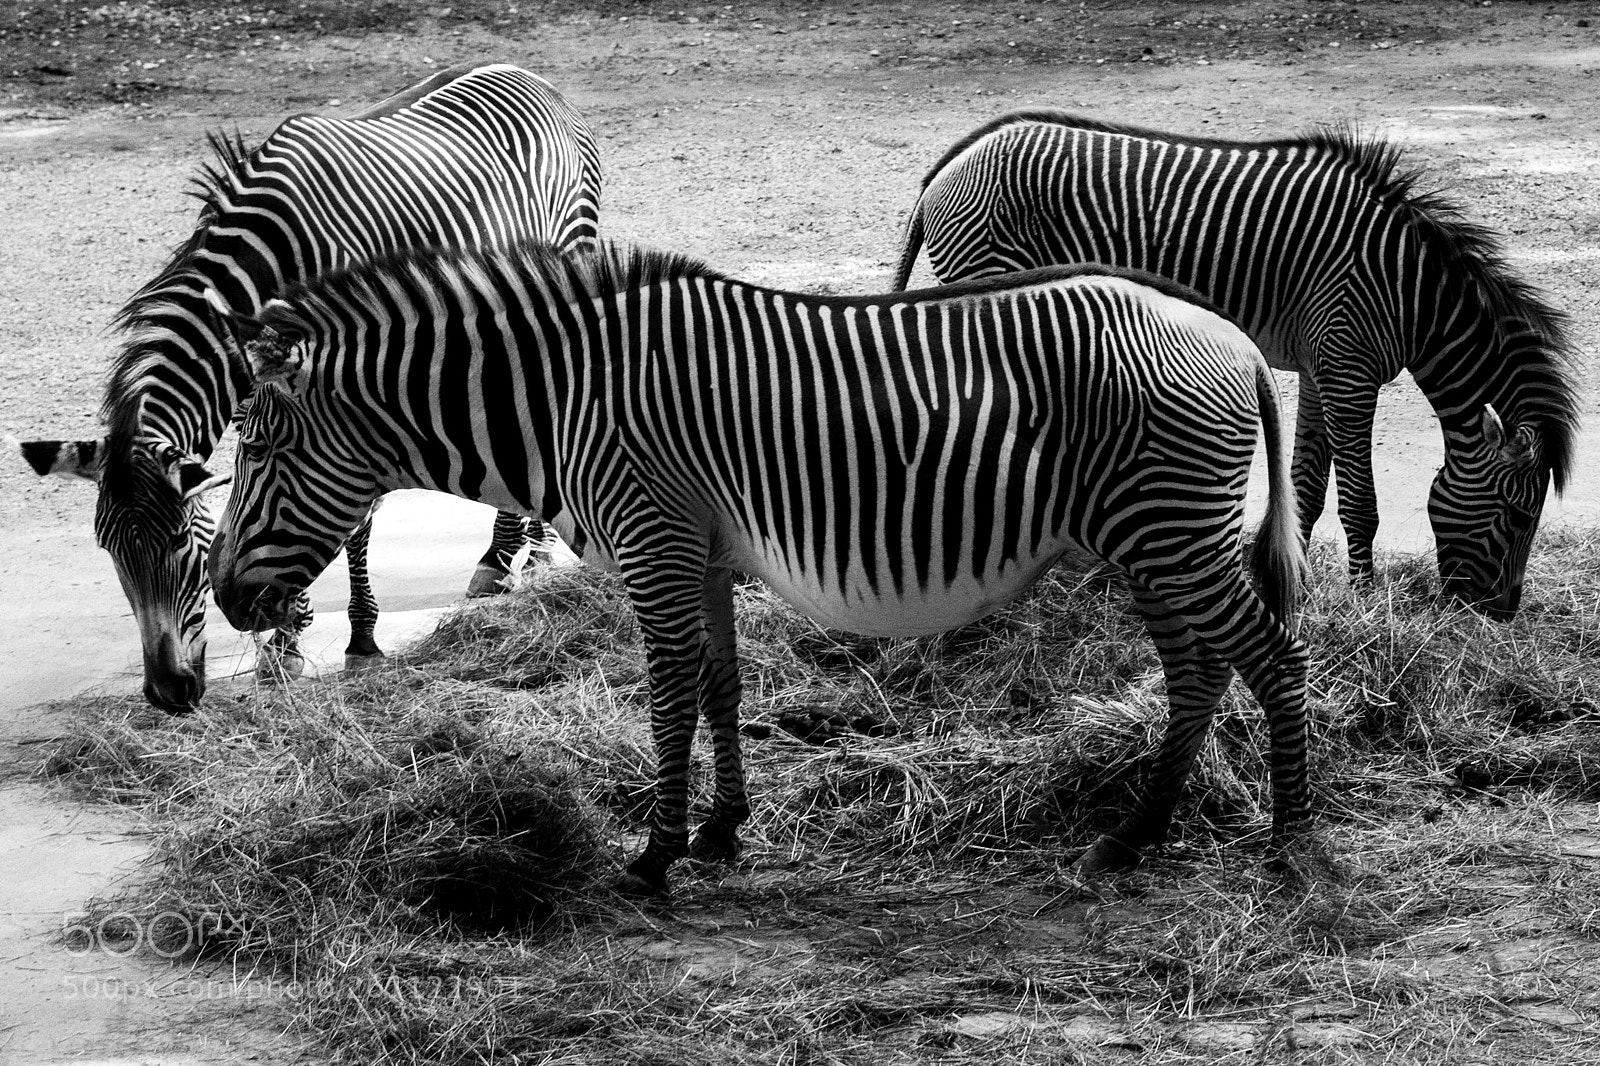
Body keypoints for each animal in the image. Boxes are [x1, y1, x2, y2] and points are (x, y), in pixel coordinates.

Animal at [17, 63, 601, 712]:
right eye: (109, 551)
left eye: (180, 542)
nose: (168, 693)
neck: (264, 264)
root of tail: (528, 74)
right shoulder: (263, 384)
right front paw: (285, 632)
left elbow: (354, 518)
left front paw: (354, 632)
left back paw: (505, 558)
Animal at [207, 239, 1313, 895]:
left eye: (254, 450)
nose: (224, 598)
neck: (567, 394)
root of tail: (1232, 338)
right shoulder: (697, 546)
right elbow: (719, 684)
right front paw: (722, 830)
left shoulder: (651, 539)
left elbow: (665, 696)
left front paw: (653, 854)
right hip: (1156, 539)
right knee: (1197, 672)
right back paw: (1135, 834)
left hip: (1169, 530)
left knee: (1272, 659)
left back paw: (1290, 844)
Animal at [892, 112, 1580, 618]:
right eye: (1518, 515)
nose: (1501, 614)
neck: (1414, 297)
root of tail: (943, 173)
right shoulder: (1350, 367)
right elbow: (1360, 499)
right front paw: (1363, 602)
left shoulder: (1321, 365)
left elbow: (1306, 486)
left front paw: (1294, 582)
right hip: (992, 292)